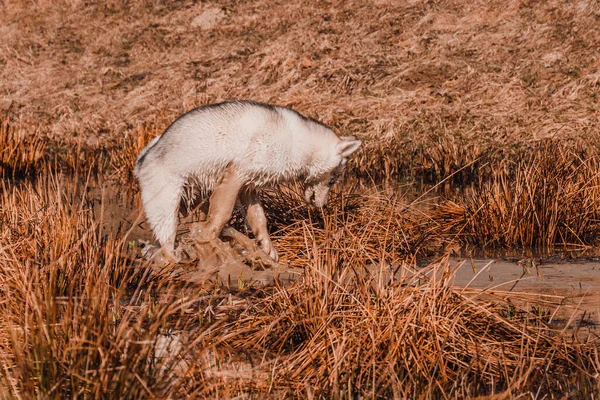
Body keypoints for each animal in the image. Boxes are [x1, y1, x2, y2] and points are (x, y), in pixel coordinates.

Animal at [135, 101, 360, 260]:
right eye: (333, 180)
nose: (324, 206)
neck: (299, 144)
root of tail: (143, 159)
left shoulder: (248, 187)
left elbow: (260, 220)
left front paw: (268, 250)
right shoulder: (236, 174)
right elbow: (222, 215)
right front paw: (208, 237)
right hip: (167, 211)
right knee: (167, 250)